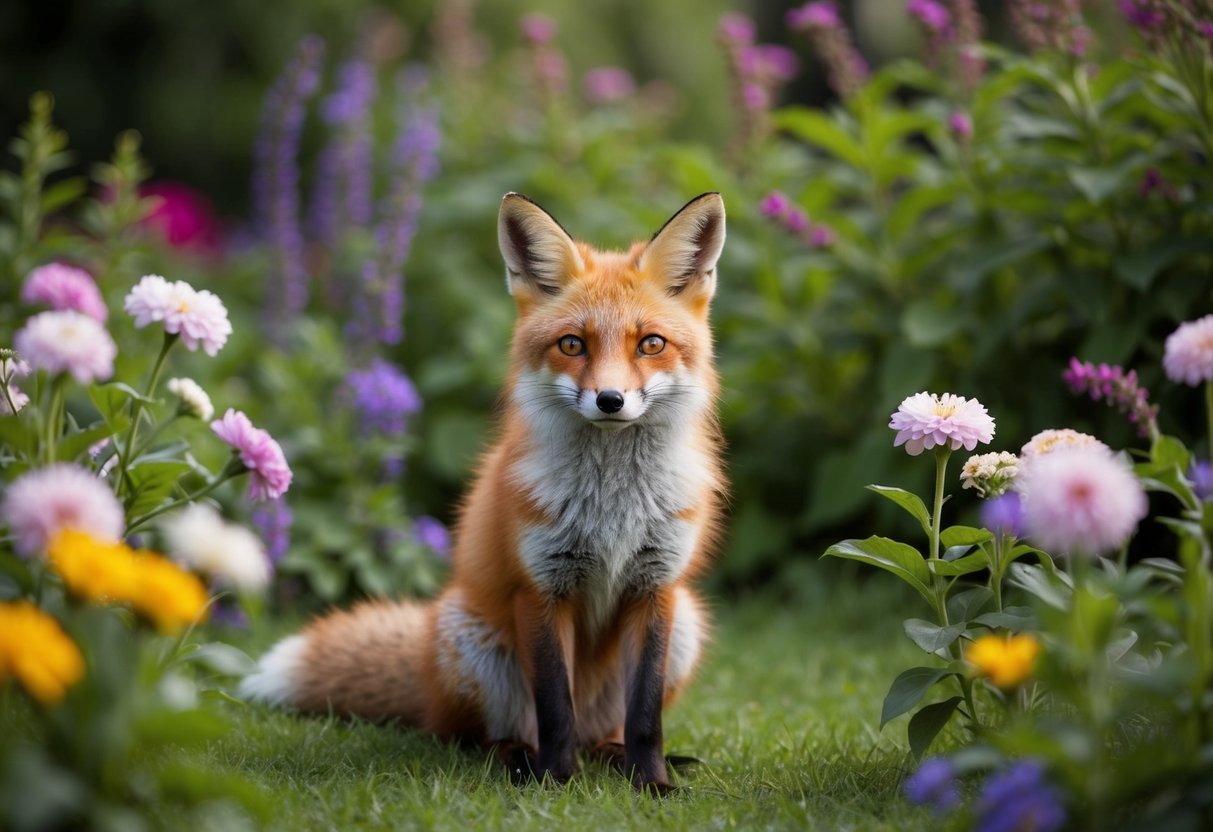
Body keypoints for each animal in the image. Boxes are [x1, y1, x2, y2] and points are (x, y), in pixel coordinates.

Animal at [240, 192, 728, 792]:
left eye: (651, 344)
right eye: (573, 344)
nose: (610, 400)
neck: (612, 508)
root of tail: (427, 680)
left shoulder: (656, 587)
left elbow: (645, 716)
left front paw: (653, 784)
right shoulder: (540, 588)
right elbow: (555, 708)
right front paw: (556, 783)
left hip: (687, 620)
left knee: (603, 731)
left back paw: (612, 756)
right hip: (470, 638)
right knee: (476, 736)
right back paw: (519, 760)